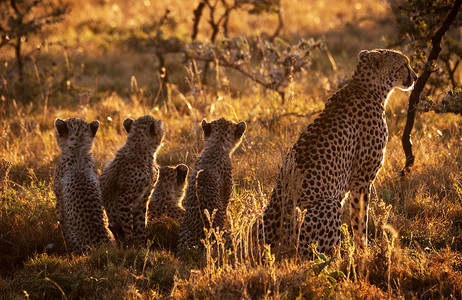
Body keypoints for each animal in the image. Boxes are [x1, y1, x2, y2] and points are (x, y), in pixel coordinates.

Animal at [100, 113, 165, 245]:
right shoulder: (124, 199)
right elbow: (128, 225)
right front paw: (132, 244)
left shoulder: (143, 199)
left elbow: (140, 224)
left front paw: (141, 246)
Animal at [264, 48, 418, 256]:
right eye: (404, 64)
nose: (416, 77)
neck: (368, 88)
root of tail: (272, 242)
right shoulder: (361, 179)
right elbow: (360, 219)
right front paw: (363, 252)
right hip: (327, 205)